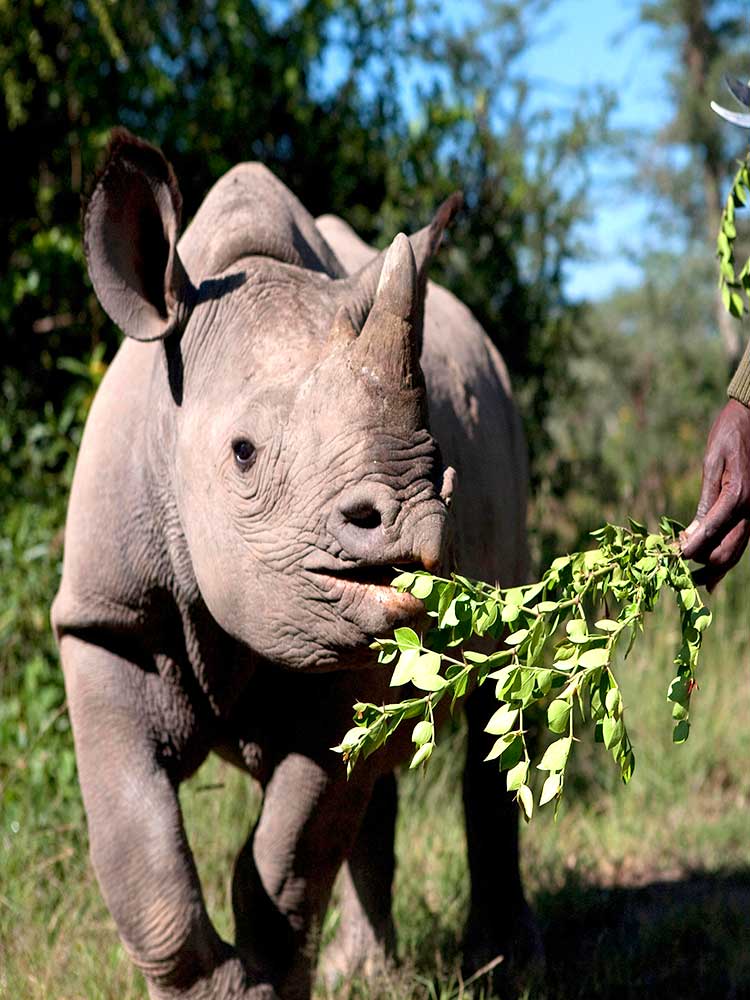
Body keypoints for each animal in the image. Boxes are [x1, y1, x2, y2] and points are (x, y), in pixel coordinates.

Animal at [51, 130, 535, 1000]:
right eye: (242, 454)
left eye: (438, 459)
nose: (414, 522)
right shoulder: (105, 620)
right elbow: (140, 851)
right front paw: (220, 989)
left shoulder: (345, 652)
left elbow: (286, 858)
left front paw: (265, 985)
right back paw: (365, 969)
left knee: (494, 697)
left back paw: (502, 965)